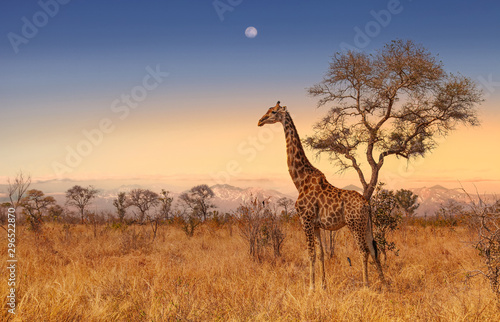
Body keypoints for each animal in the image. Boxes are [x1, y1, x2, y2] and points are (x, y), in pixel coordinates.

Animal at [258, 101, 386, 292]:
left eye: (273, 112)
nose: (260, 121)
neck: (300, 180)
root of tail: (366, 204)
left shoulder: (305, 219)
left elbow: (310, 254)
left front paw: (311, 288)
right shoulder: (317, 224)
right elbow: (321, 254)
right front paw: (323, 286)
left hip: (354, 224)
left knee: (363, 251)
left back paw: (366, 286)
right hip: (367, 224)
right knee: (373, 249)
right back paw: (385, 284)